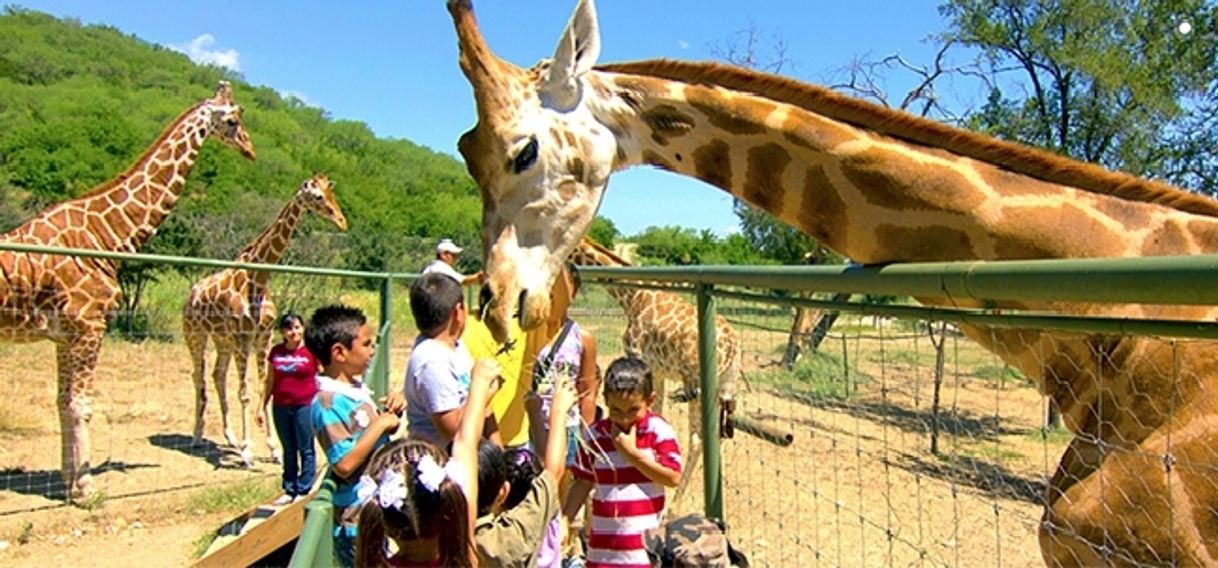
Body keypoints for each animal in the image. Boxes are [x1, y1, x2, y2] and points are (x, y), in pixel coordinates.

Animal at [0, 82, 254, 499]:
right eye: (232, 120)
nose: (250, 149)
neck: (108, 235)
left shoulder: (65, 334)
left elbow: (63, 402)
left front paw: (70, 483)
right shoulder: (89, 325)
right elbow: (80, 405)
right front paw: (85, 488)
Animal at [182, 173, 350, 465]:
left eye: (331, 193)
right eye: (318, 196)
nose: (342, 221)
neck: (258, 279)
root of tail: (190, 295)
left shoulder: (263, 336)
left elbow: (263, 388)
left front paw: (273, 449)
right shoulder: (243, 337)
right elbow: (246, 393)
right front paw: (248, 452)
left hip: (222, 339)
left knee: (217, 375)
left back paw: (230, 437)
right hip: (196, 335)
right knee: (198, 377)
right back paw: (197, 436)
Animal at [565, 236, 735, 507]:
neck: (632, 296)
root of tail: (733, 344)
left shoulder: (637, 356)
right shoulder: (658, 370)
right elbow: (658, 414)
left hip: (697, 383)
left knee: (698, 438)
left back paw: (674, 506)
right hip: (725, 385)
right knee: (720, 436)